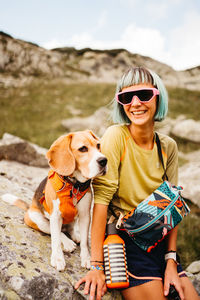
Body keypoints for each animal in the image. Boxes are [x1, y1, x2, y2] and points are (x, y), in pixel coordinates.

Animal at [1, 130, 107, 270]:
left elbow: (85, 241)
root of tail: (29, 207)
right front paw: (58, 258)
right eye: (83, 149)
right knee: (57, 232)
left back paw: (75, 236)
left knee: (69, 229)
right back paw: (68, 243)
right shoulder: (55, 216)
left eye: (98, 145)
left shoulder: (85, 216)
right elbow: (56, 240)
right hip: (39, 221)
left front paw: (87, 258)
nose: (104, 161)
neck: (73, 185)